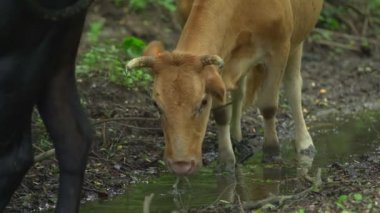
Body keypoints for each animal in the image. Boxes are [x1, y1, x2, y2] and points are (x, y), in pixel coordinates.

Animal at [127, 0, 324, 176]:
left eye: (202, 102)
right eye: (156, 105)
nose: (180, 165)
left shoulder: (279, 48)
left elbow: (268, 106)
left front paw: (272, 152)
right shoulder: (218, 63)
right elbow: (221, 113)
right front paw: (226, 160)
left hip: (297, 39)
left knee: (293, 85)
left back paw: (304, 142)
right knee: (239, 92)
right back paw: (237, 138)